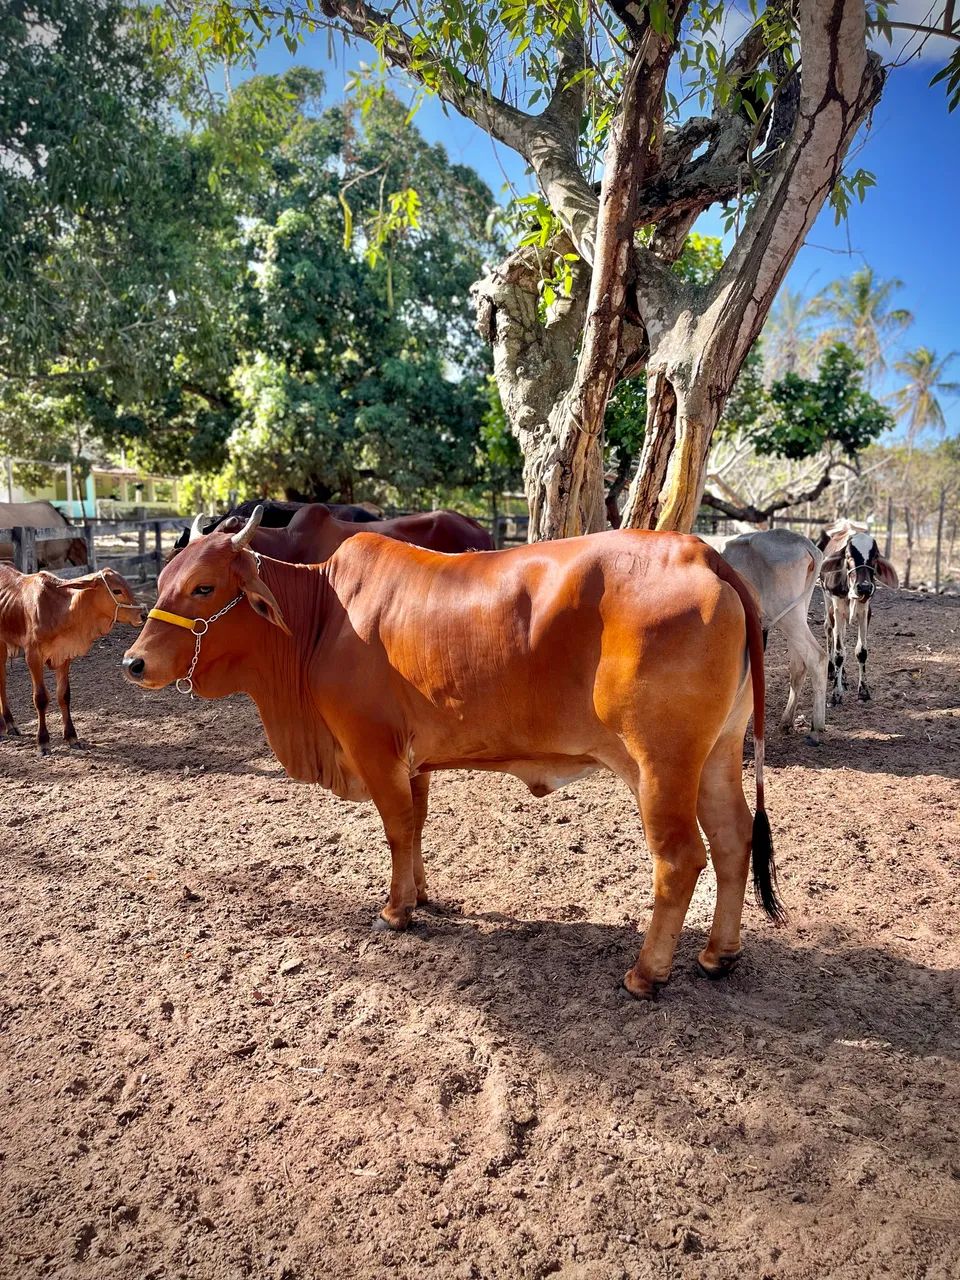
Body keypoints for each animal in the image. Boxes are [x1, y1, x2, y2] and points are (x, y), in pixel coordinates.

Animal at [0, 564, 144, 754]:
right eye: (117, 590)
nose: (143, 614)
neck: (58, 609)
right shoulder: (33, 656)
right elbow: (40, 698)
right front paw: (43, 741)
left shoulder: (64, 655)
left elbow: (64, 695)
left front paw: (72, 737)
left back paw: (8, 724)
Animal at [122, 505, 783, 1000]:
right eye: (163, 581)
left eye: (204, 586)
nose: (133, 662)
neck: (322, 614)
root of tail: (705, 554)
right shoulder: (411, 759)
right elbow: (414, 826)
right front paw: (420, 894)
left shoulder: (372, 746)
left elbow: (395, 828)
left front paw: (396, 911)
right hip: (718, 753)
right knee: (733, 839)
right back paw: (718, 955)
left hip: (660, 765)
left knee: (681, 857)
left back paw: (646, 972)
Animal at [704, 529, 828, 741]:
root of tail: (805, 544)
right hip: (797, 611)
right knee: (798, 664)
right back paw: (786, 722)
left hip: (783, 610)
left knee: (817, 657)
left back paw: (815, 729)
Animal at [817, 520, 899, 704]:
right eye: (848, 556)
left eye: (874, 557)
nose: (864, 587)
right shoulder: (837, 609)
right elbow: (839, 653)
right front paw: (835, 694)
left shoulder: (865, 611)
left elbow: (861, 651)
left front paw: (863, 691)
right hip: (828, 604)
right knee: (829, 629)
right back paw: (833, 671)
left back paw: (844, 678)